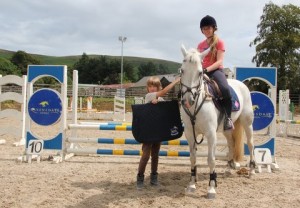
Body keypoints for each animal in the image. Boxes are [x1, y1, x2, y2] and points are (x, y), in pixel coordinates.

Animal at [179, 45, 256, 198]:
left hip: (247, 123)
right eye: (182, 70)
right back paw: (228, 168)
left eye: (200, 72)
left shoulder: (211, 134)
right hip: (226, 128)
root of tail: (241, 84)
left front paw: (212, 187)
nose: (188, 101)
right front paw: (191, 185)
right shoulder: (190, 133)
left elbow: (211, 159)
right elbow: (193, 158)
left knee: (250, 144)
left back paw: (252, 170)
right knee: (231, 143)